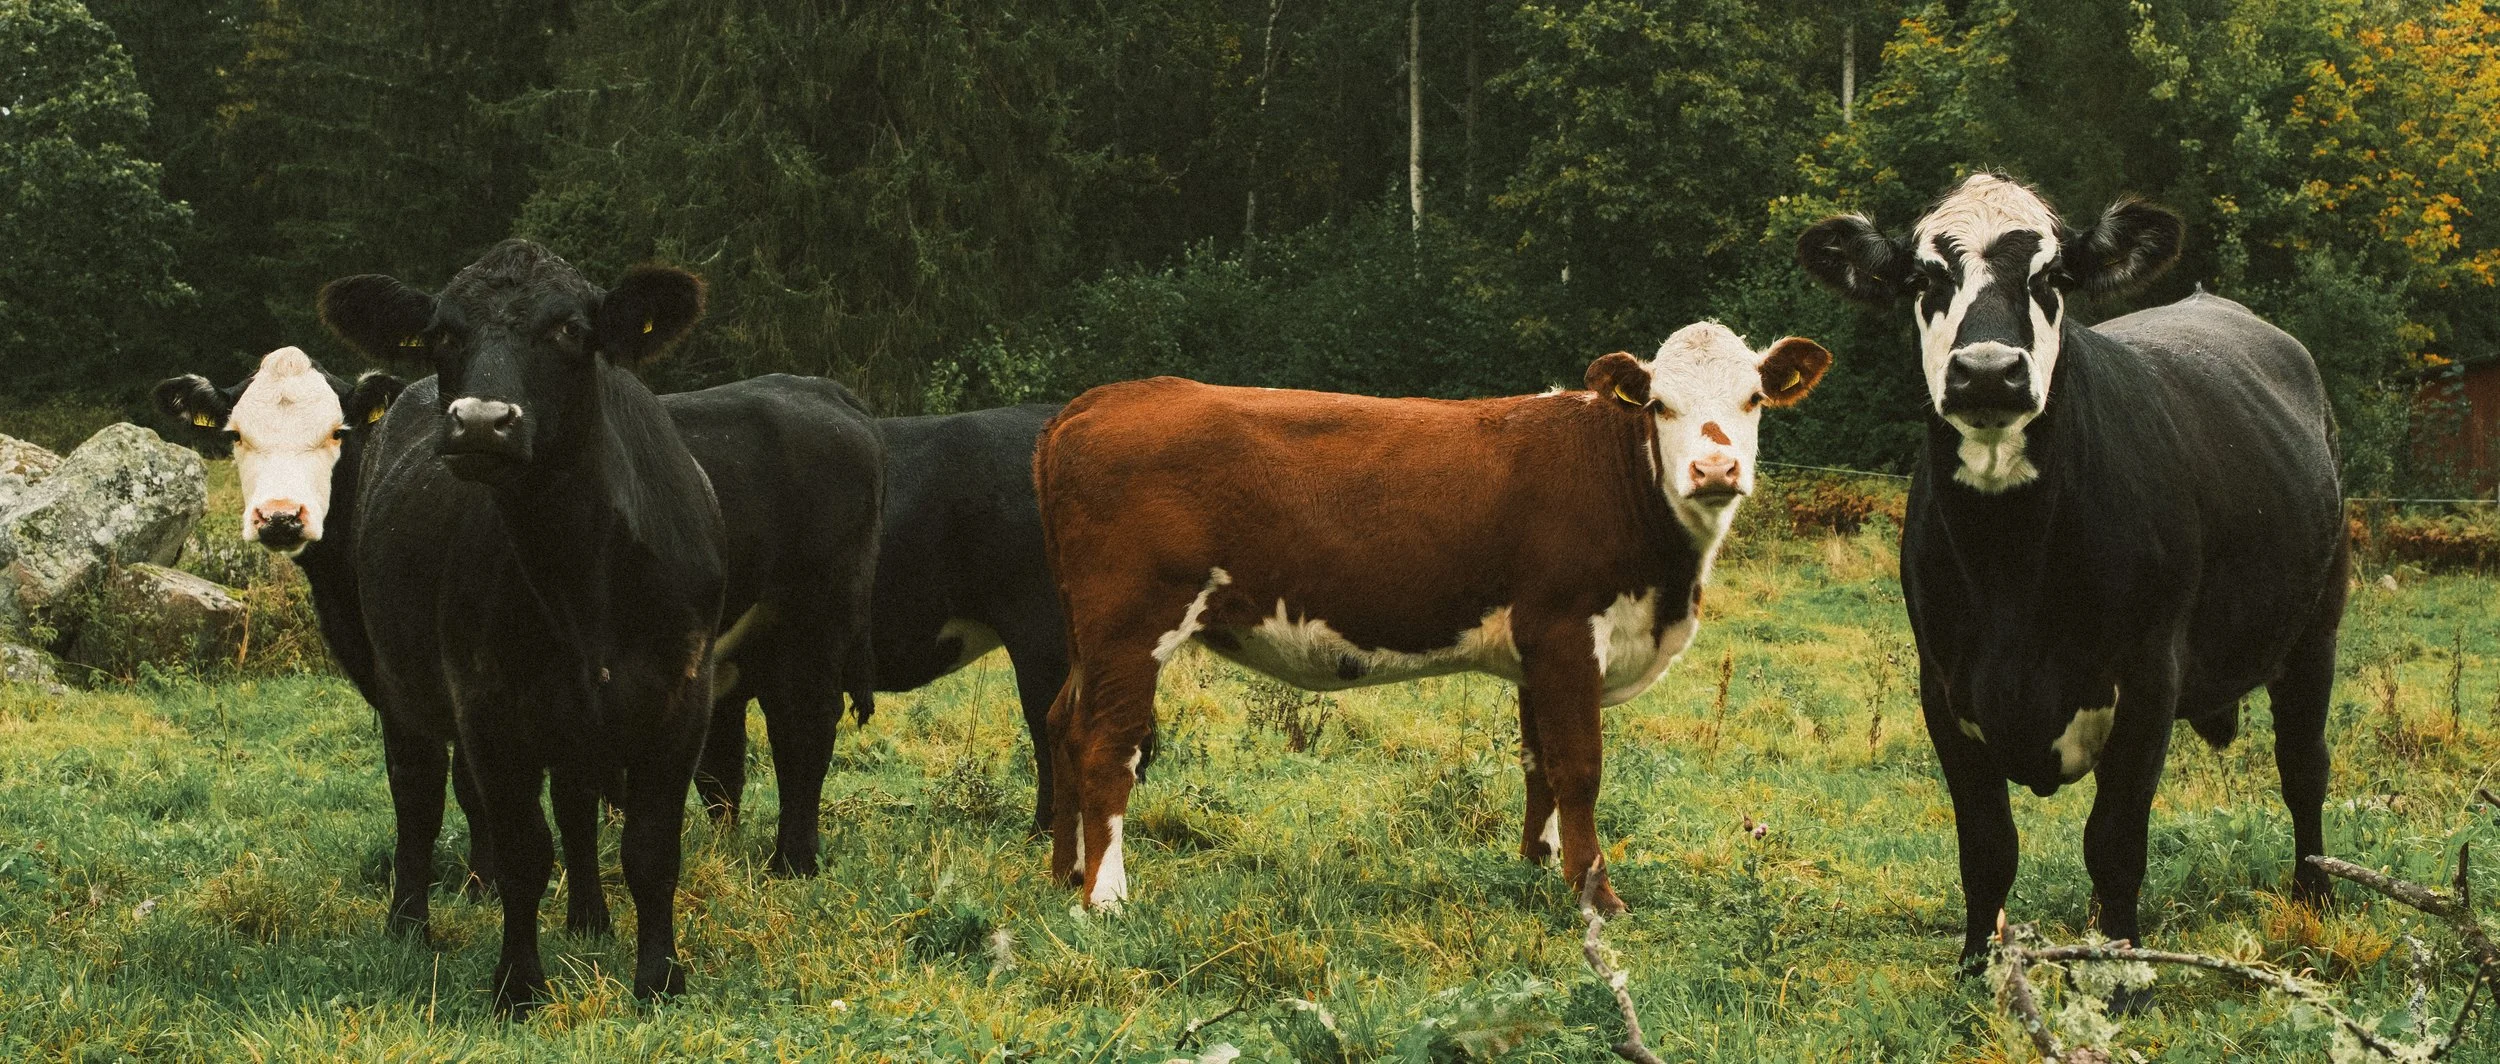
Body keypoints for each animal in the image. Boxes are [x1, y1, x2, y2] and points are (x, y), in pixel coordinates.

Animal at [324, 239, 727, 1011]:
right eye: (443, 334)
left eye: (569, 329)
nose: (481, 420)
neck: (582, 579)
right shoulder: (489, 706)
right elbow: (521, 851)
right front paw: (518, 984)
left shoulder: (682, 697)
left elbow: (651, 849)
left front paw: (659, 976)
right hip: (403, 690)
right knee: (417, 799)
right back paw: (409, 924)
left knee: (573, 807)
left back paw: (591, 918)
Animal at [1033, 324, 1830, 912]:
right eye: (1660, 404)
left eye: (1754, 399)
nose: (1715, 470)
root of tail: (1096, 402)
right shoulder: (1568, 633)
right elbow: (1579, 768)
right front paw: (1595, 895)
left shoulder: (1534, 652)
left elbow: (1538, 763)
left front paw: (1537, 866)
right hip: (1130, 625)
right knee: (1105, 745)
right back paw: (1105, 894)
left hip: (1085, 632)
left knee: (1060, 723)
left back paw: (1064, 871)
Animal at [1795, 173, 2347, 975]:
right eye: (1925, 279)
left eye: (2052, 277)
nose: (1987, 371)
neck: (2011, 571)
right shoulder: (1942, 686)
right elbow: (1986, 846)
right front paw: (1978, 970)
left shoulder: (2150, 678)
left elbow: (2114, 843)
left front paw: (2122, 971)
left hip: (2317, 628)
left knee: (2303, 766)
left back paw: (2315, 898)